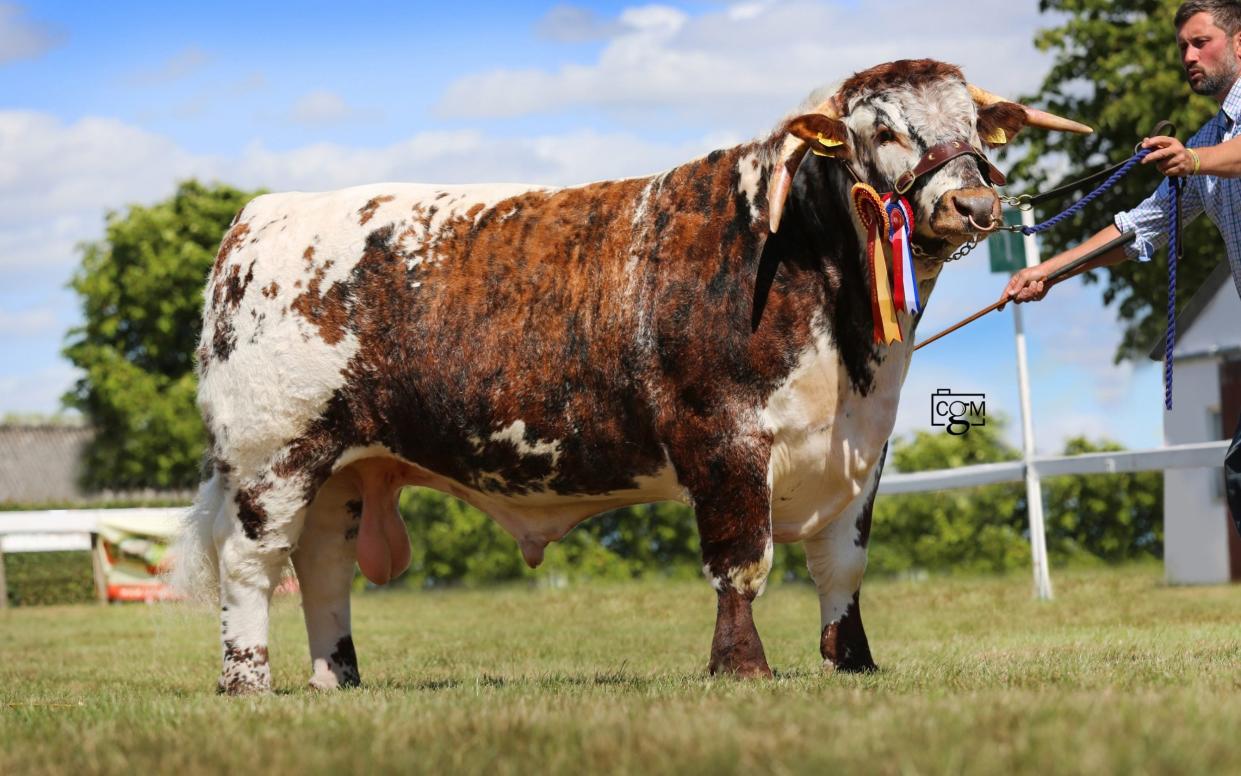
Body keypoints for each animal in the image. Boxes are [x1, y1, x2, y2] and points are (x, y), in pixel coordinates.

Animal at [174, 58, 1087, 690]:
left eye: (973, 124)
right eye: (888, 128)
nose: (974, 205)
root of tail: (260, 215)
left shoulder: (861, 449)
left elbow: (842, 568)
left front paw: (850, 662)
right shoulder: (721, 438)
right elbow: (740, 563)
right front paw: (741, 668)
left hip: (343, 468)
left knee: (322, 569)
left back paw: (337, 679)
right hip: (271, 456)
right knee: (252, 566)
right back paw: (246, 683)